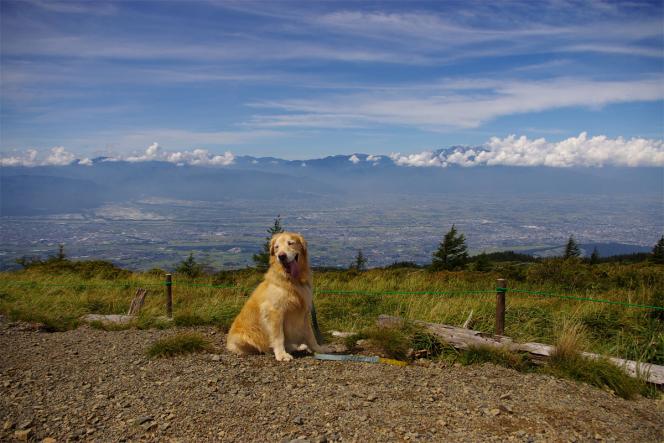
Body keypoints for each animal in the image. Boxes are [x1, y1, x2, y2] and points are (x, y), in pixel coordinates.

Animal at [226, 232, 324, 360]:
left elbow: (310, 334)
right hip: (244, 338)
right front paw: (281, 354)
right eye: (277, 247)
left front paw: (318, 349)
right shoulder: (274, 312)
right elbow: (279, 336)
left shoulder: (304, 312)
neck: (292, 281)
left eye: (290, 243)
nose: (281, 256)